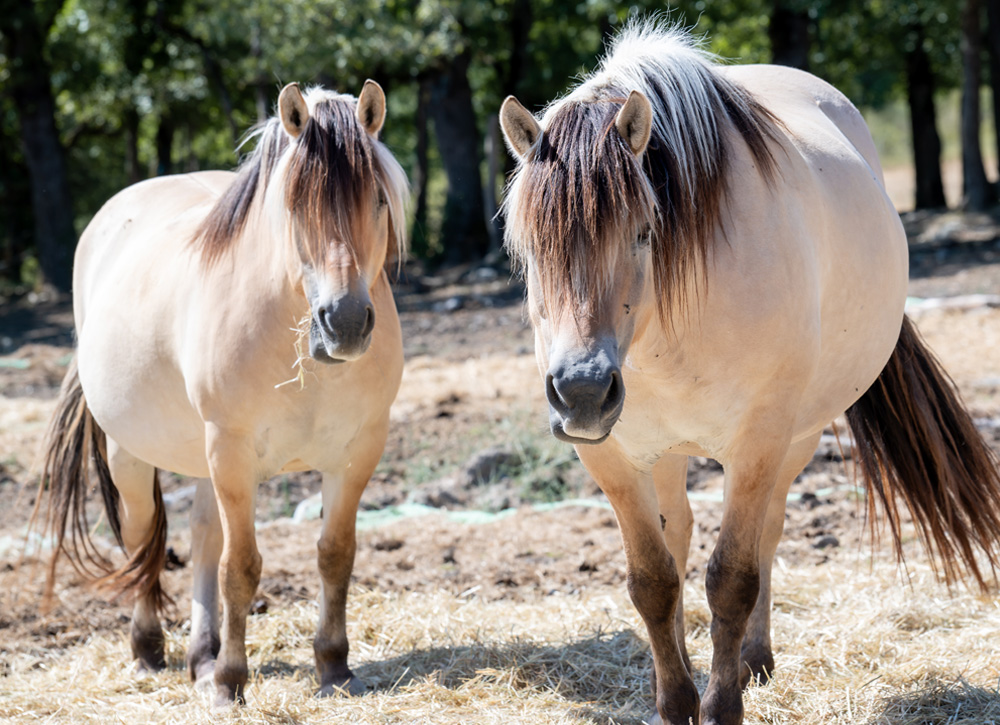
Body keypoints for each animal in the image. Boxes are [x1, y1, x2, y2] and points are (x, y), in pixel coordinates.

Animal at [36, 80, 408, 706]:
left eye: (378, 200)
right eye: (293, 206)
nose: (346, 323)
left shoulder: (358, 452)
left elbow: (335, 555)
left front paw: (334, 667)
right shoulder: (232, 453)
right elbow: (242, 567)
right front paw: (232, 682)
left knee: (203, 536)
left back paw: (201, 656)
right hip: (134, 454)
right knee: (143, 538)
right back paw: (150, 651)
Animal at [499, 21, 1000, 725]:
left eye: (644, 232)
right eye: (529, 246)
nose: (583, 392)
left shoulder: (758, 442)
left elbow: (733, 577)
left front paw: (721, 702)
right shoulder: (612, 458)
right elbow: (652, 580)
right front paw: (675, 700)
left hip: (796, 440)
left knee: (768, 531)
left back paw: (755, 660)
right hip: (662, 451)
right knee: (679, 535)